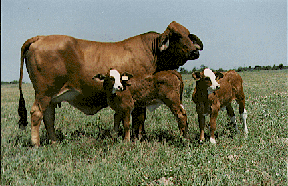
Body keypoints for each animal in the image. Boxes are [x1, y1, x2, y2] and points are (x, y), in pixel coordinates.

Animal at [18, 21, 202, 147]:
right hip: (44, 93)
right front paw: (137, 137)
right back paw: (36, 143)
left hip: (51, 97)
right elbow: (138, 117)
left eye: (188, 34)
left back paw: (54, 141)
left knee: (48, 117)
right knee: (36, 113)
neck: (154, 51)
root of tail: (40, 37)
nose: (195, 51)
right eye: (177, 36)